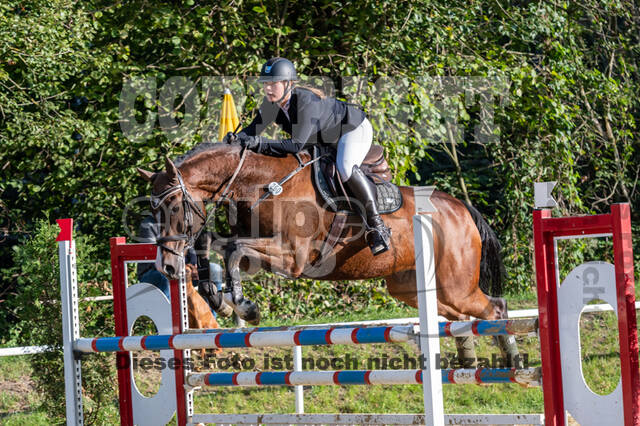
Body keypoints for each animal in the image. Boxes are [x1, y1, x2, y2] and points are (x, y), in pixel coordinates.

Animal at [139, 143, 520, 366]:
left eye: (173, 205)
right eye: (152, 208)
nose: (167, 266)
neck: (264, 183)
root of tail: (462, 209)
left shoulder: (293, 258)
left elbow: (233, 249)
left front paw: (245, 307)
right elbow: (213, 244)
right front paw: (216, 295)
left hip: (455, 284)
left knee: (494, 308)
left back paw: (514, 364)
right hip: (413, 288)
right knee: (462, 316)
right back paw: (468, 363)